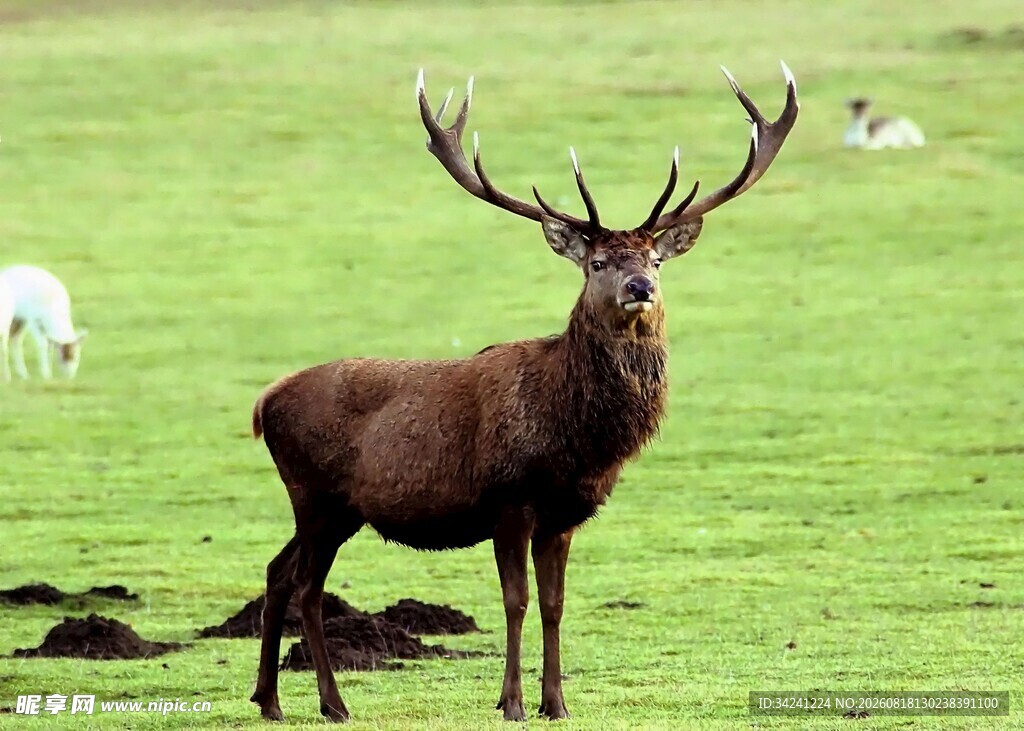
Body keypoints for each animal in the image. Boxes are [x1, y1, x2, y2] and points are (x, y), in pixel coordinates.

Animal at [248, 62, 798, 724]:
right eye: (597, 263)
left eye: (656, 261)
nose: (639, 287)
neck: (576, 440)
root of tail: (264, 404)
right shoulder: (509, 499)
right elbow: (516, 601)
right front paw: (510, 702)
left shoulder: (566, 514)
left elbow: (556, 604)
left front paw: (556, 702)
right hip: (316, 495)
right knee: (307, 584)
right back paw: (332, 704)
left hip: (332, 507)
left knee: (278, 571)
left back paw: (269, 700)